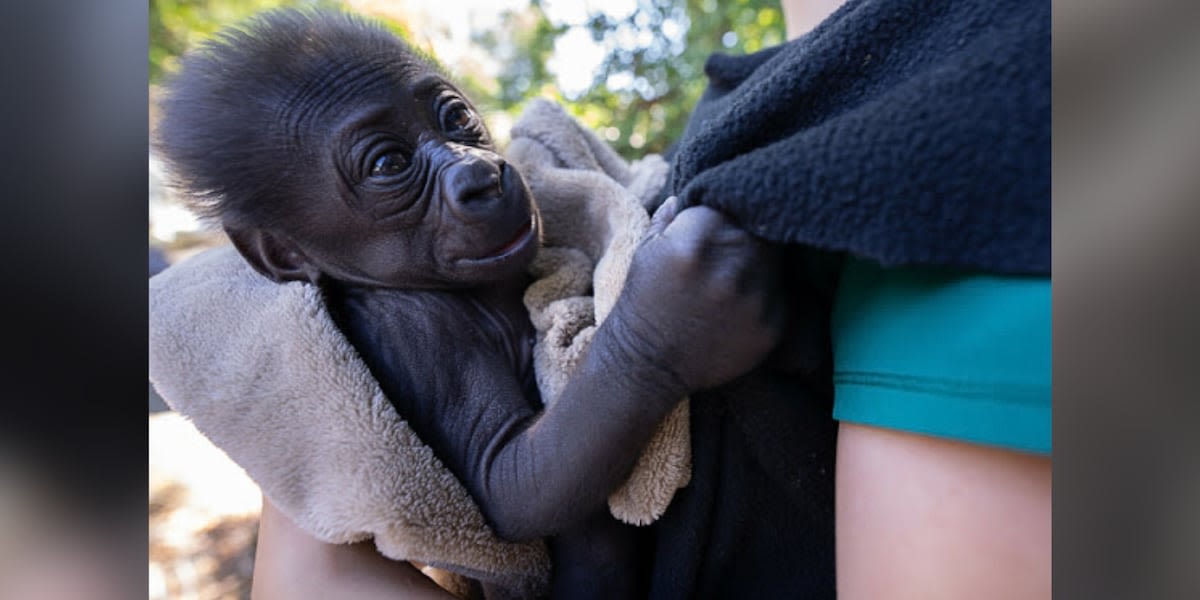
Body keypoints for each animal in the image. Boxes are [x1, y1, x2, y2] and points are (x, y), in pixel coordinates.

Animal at [154, 8, 782, 595]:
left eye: (455, 120)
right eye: (389, 165)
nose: (481, 176)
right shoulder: (412, 330)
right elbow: (510, 484)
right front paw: (675, 313)